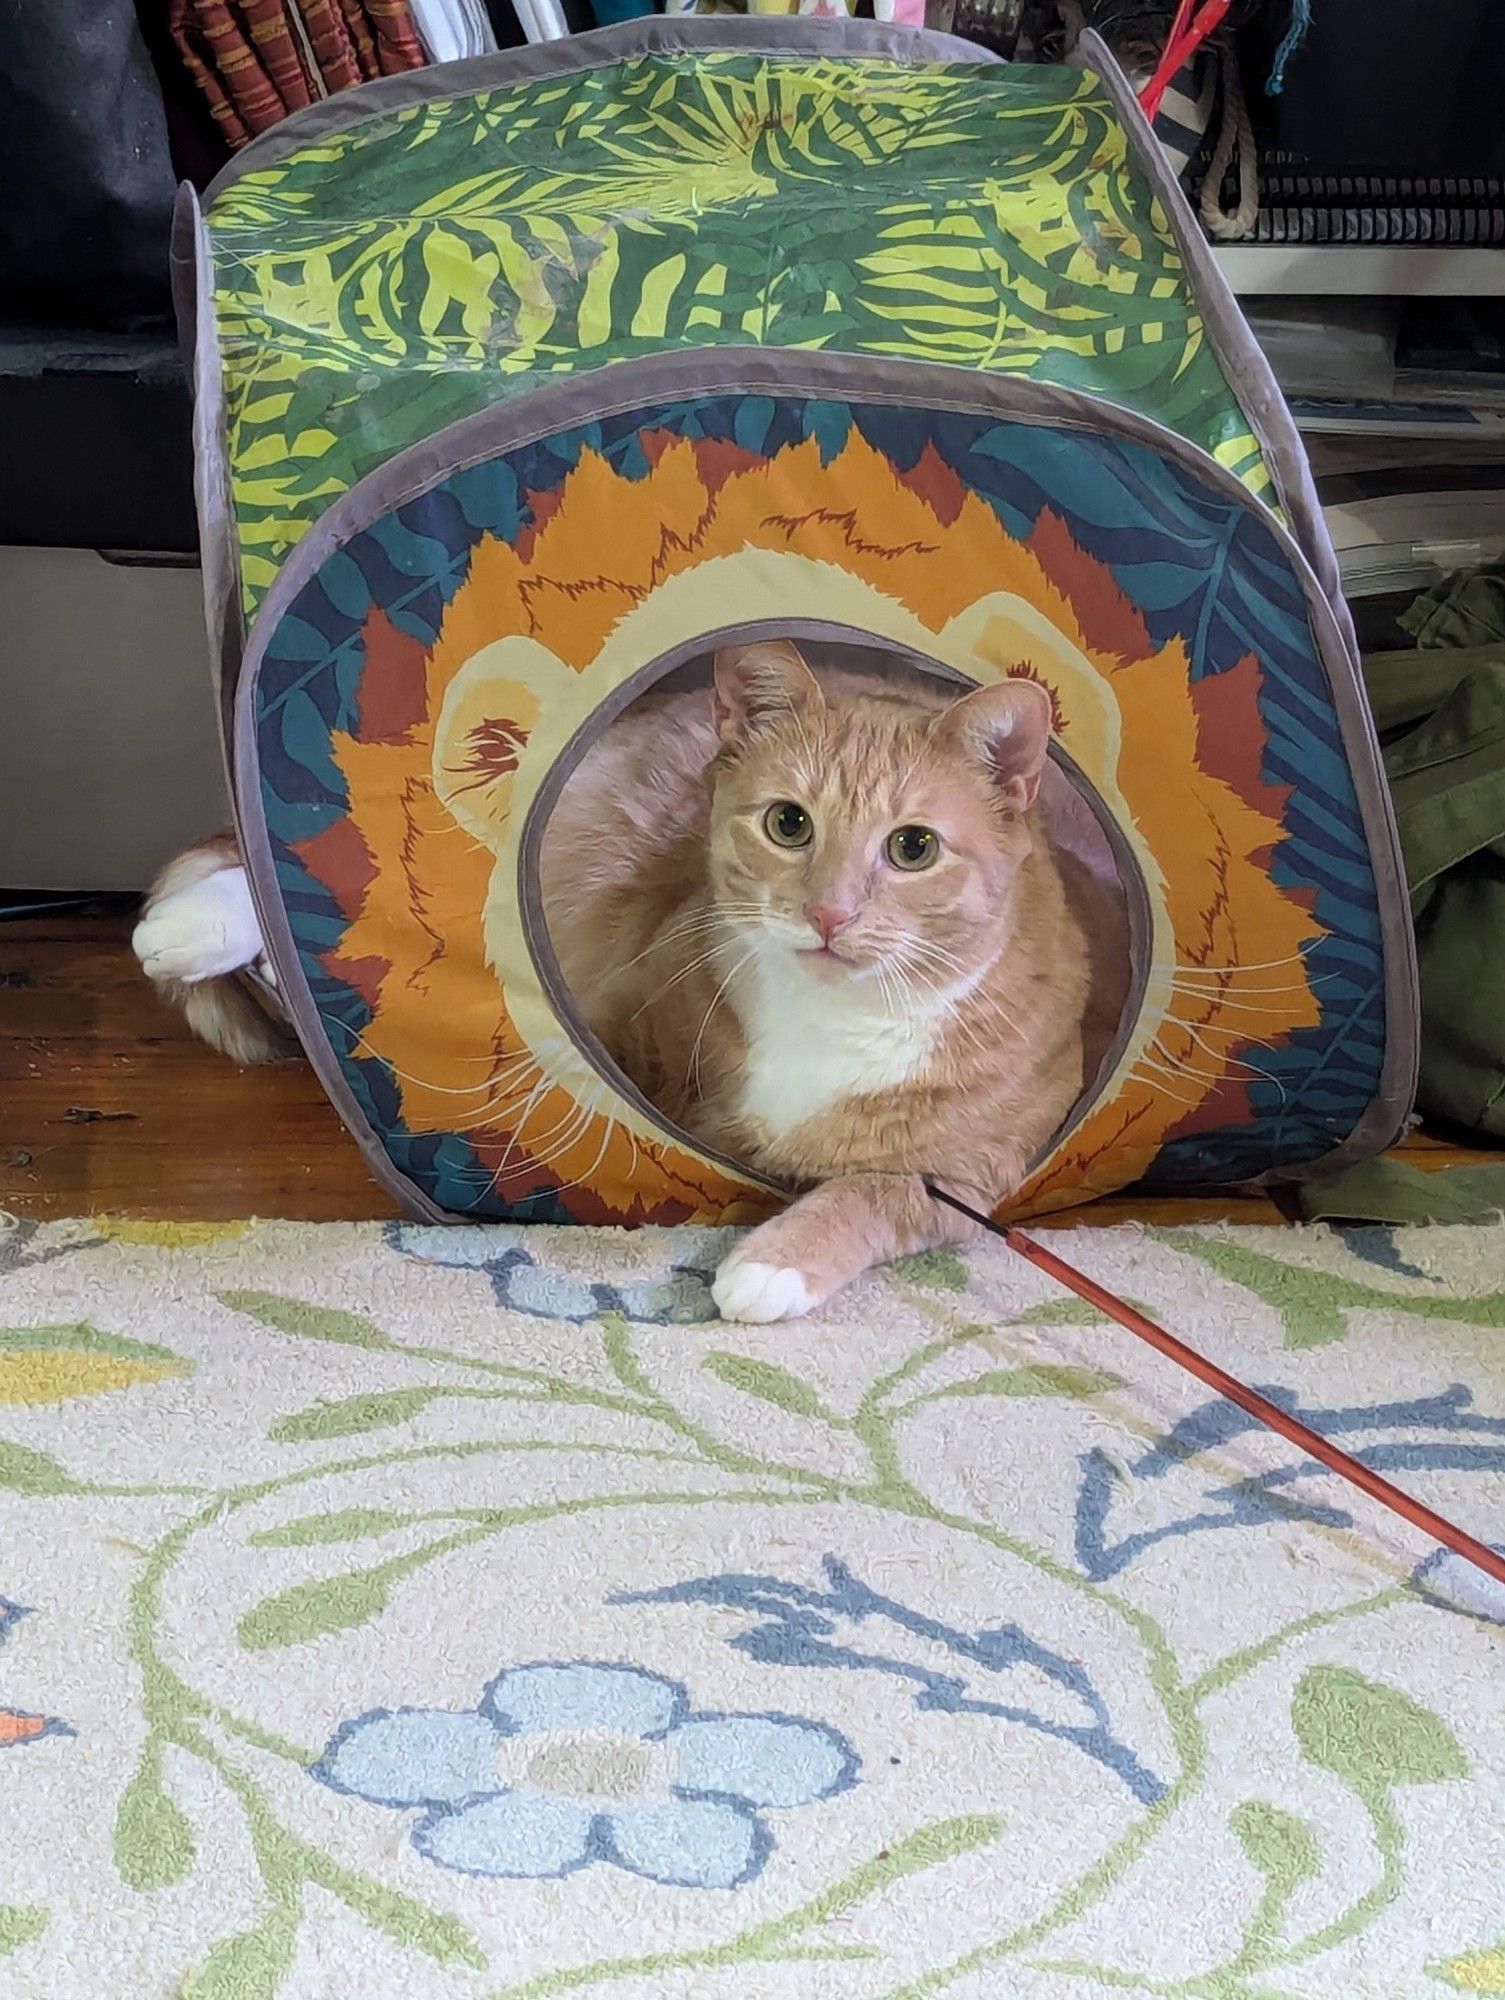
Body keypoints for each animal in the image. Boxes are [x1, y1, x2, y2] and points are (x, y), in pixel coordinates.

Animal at [135, 640, 1120, 1320]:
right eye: (789, 824)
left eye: (913, 847)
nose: (830, 914)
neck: (830, 1018)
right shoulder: (623, 1002)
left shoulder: (969, 1176)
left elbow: (872, 1193)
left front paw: (771, 1264)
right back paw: (191, 929)